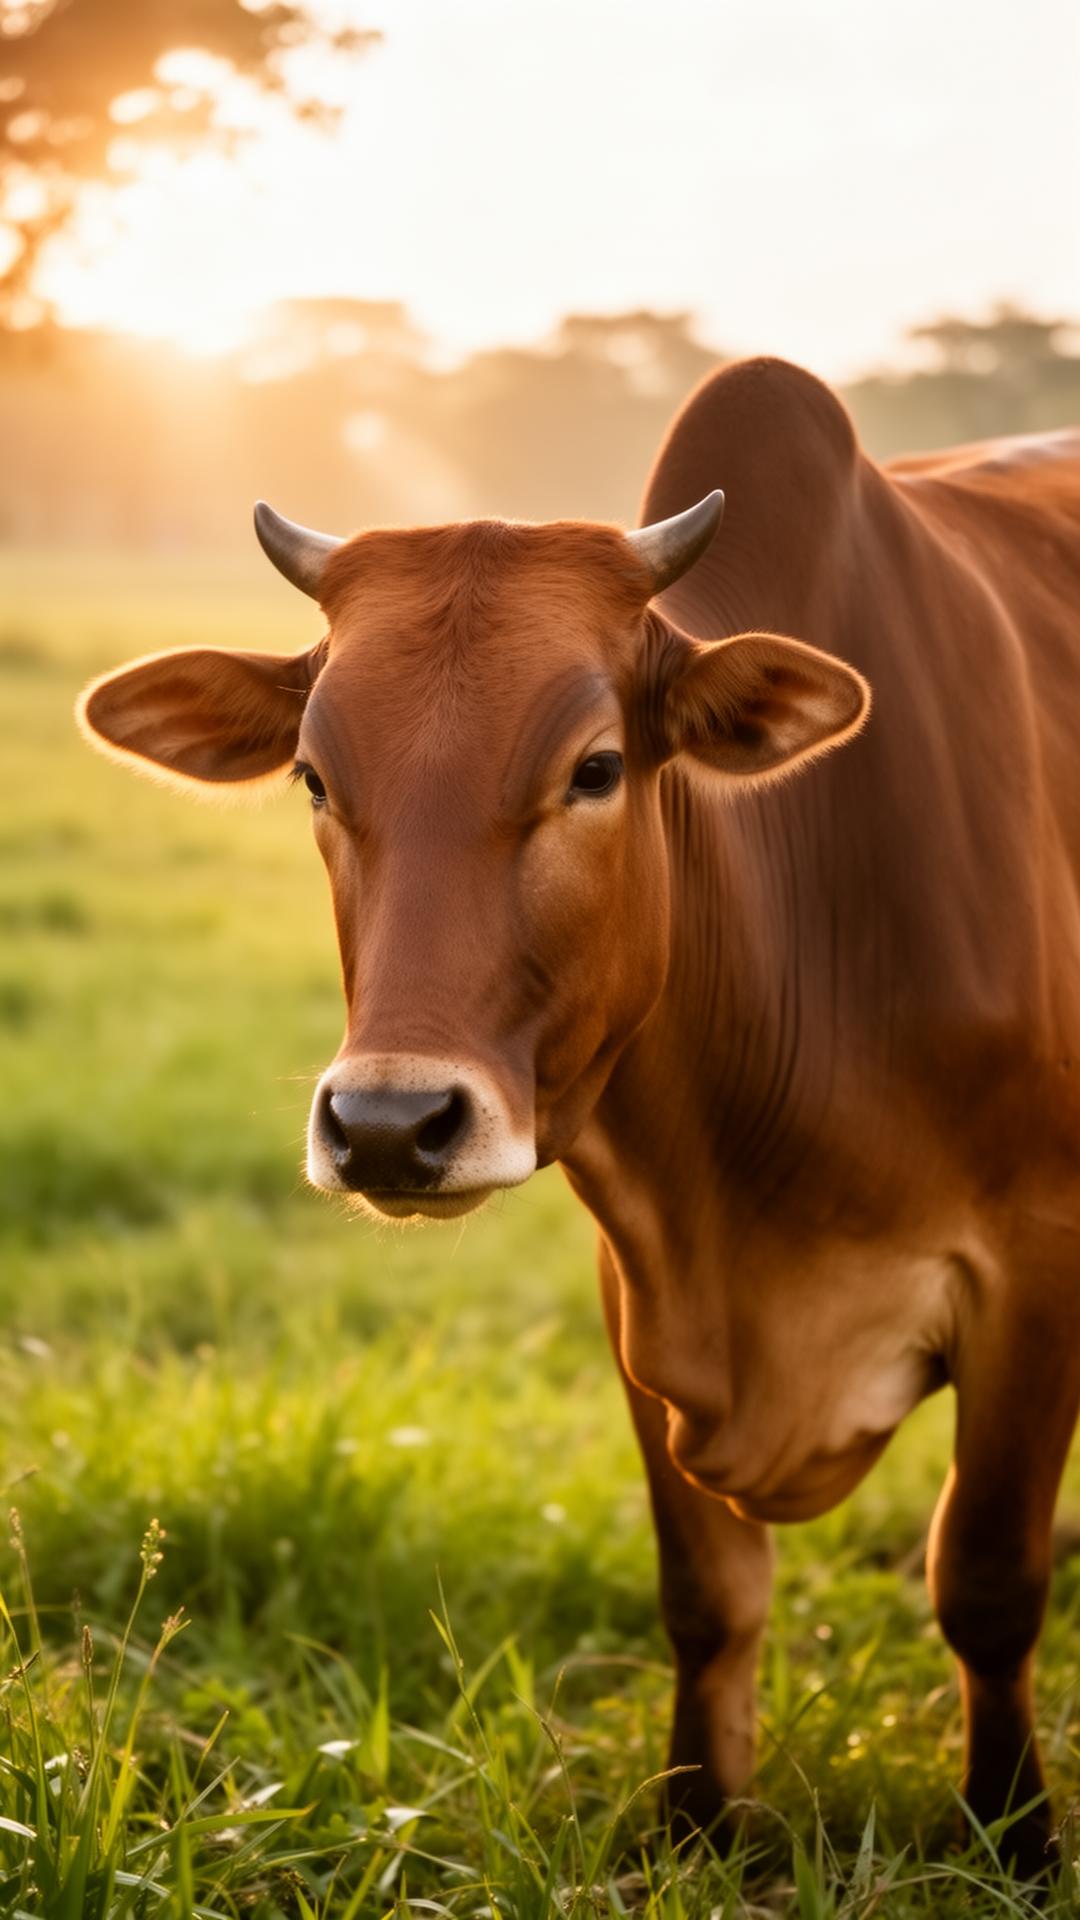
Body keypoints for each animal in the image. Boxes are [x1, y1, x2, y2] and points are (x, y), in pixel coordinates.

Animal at [78, 357, 1080, 1875]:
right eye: (315, 778)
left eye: (596, 768)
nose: (388, 1125)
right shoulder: (637, 1290)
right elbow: (708, 1593)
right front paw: (700, 1825)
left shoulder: (1035, 1270)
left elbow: (986, 1577)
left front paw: (1013, 1835)